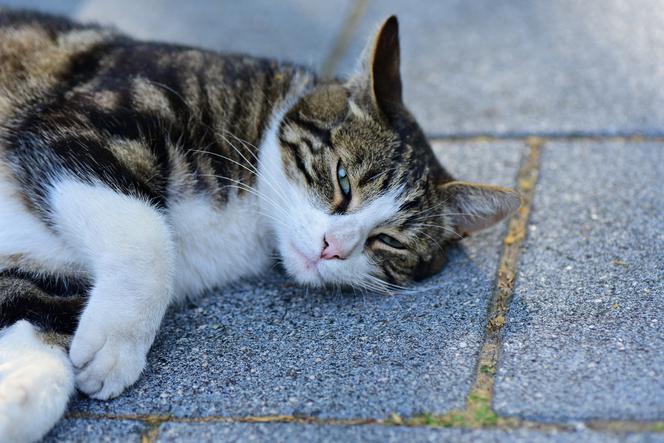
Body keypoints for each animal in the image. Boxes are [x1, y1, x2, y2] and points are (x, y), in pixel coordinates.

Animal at [0, 10, 520, 443]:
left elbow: (38, 318)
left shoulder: (44, 273)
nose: (333, 247)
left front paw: (21, 396)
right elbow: (146, 238)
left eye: (388, 240)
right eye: (343, 179)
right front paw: (118, 340)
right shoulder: (87, 120)